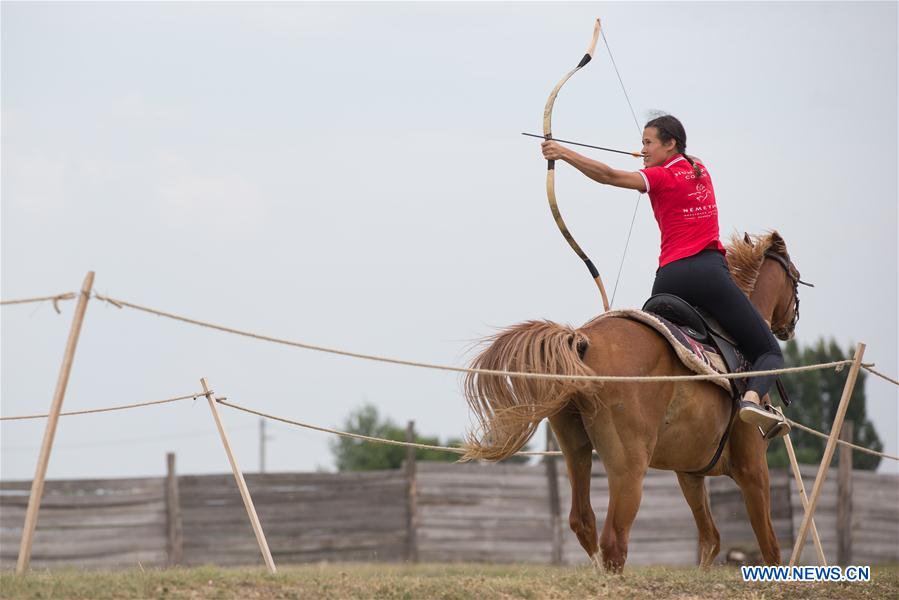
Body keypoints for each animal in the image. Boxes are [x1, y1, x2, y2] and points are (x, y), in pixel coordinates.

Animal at [460, 230, 804, 572]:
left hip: (575, 448)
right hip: (630, 466)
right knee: (614, 540)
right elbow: (769, 547)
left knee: (583, 521)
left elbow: (711, 540)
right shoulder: (753, 468)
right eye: (795, 277)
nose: (790, 325)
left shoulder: (689, 475)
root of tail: (583, 340)